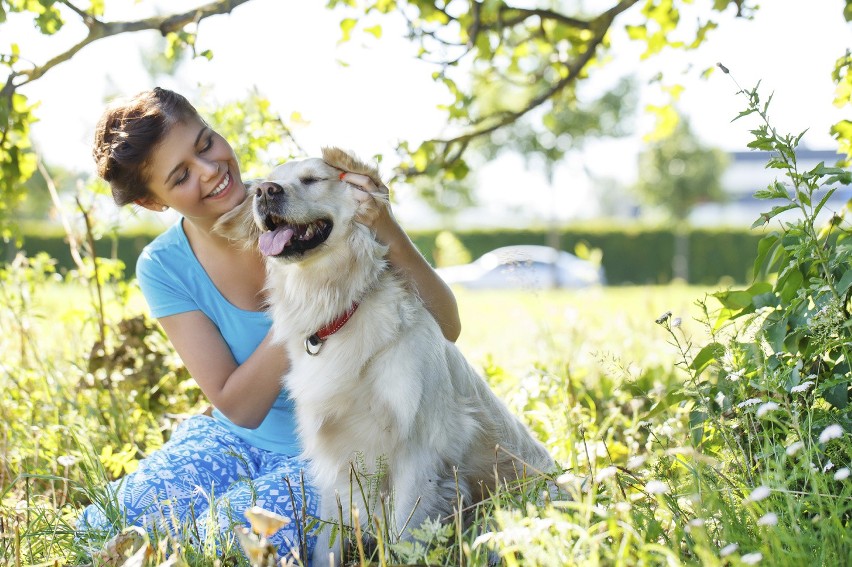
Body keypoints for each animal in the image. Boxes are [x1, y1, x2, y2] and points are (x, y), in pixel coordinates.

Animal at [216, 149, 556, 564]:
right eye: (263, 185)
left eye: (312, 179)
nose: (265, 191)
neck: (339, 310)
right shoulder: (335, 461)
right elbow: (326, 544)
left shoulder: (419, 450)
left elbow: (403, 536)